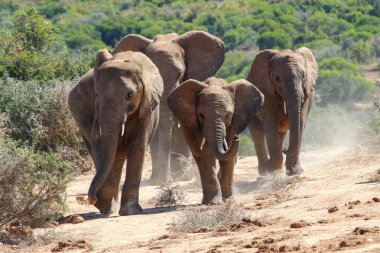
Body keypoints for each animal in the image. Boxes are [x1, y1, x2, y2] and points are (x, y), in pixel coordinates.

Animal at [68, 48, 163, 214]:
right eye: (97, 95)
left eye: (129, 95)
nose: (91, 199)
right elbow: (98, 147)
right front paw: (106, 206)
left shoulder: (147, 106)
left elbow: (137, 146)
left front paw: (130, 212)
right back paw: (109, 206)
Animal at [168, 76, 262, 204]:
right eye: (201, 115)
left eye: (228, 115)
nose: (237, 138)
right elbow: (207, 153)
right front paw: (214, 203)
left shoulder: (235, 121)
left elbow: (228, 157)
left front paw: (229, 201)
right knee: (199, 160)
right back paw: (206, 201)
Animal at [246, 47, 318, 176]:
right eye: (277, 78)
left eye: (304, 76)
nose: (285, 149)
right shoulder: (266, 91)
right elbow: (270, 123)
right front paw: (272, 169)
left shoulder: (307, 92)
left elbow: (301, 121)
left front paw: (295, 172)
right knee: (257, 132)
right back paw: (265, 172)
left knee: (280, 133)